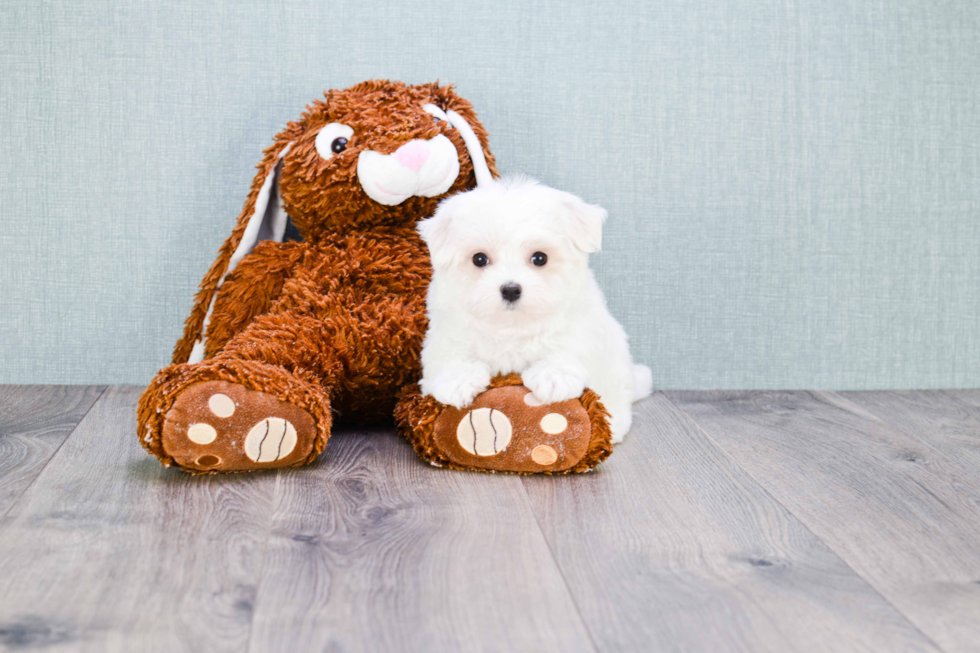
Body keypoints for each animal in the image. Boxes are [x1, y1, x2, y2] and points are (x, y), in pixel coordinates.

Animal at [416, 176, 652, 444]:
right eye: (479, 259)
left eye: (540, 258)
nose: (510, 289)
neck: (511, 326)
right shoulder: (447, 332)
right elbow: (449, 356)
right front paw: (458, 379)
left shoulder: (579, 324)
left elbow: (567, 346)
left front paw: (553, 375)